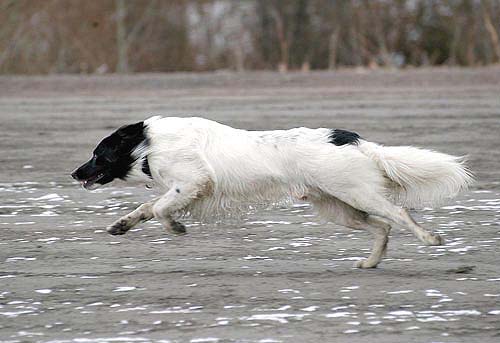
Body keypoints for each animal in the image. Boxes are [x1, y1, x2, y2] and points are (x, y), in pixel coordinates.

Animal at [70, 117, 472, 270]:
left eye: (97, 154)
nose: (74, 173)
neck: (148, 145)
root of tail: (353, 139)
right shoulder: (184, 189)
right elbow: (147, 207)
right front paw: (122, 225)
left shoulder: (194, 183)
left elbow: (158, 209)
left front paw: (175, 229)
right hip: (338, 207)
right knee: (382, 227)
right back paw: (370, 263)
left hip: (357, 195)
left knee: (399, 215)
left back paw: (429, 238)